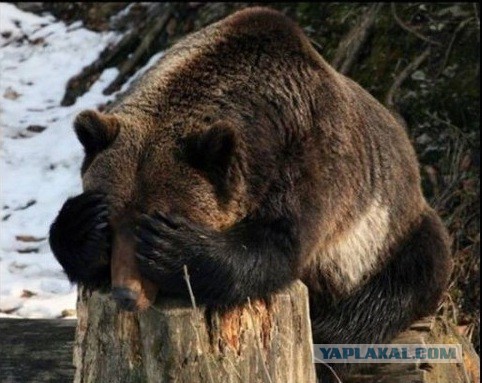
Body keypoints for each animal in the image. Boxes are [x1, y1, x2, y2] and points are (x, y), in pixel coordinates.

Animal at [49, 4, 452, 372]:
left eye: (153, 220)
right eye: (112, 226)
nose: (126, 293)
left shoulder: (310, 161)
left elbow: (278, 246)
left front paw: (174, 248)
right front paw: (82, 223)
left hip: (389, 233)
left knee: (400, 282)